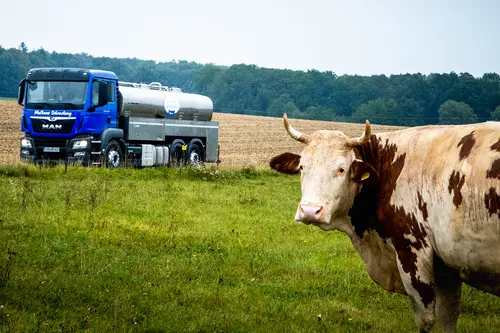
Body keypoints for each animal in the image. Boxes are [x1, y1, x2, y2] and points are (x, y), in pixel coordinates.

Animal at [270, 114, 500, 332]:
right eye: (302, 167)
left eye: (341, 169)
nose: (310, 210)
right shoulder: (446, 263)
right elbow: (449, 315)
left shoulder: (412, 251)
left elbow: (425, 319)